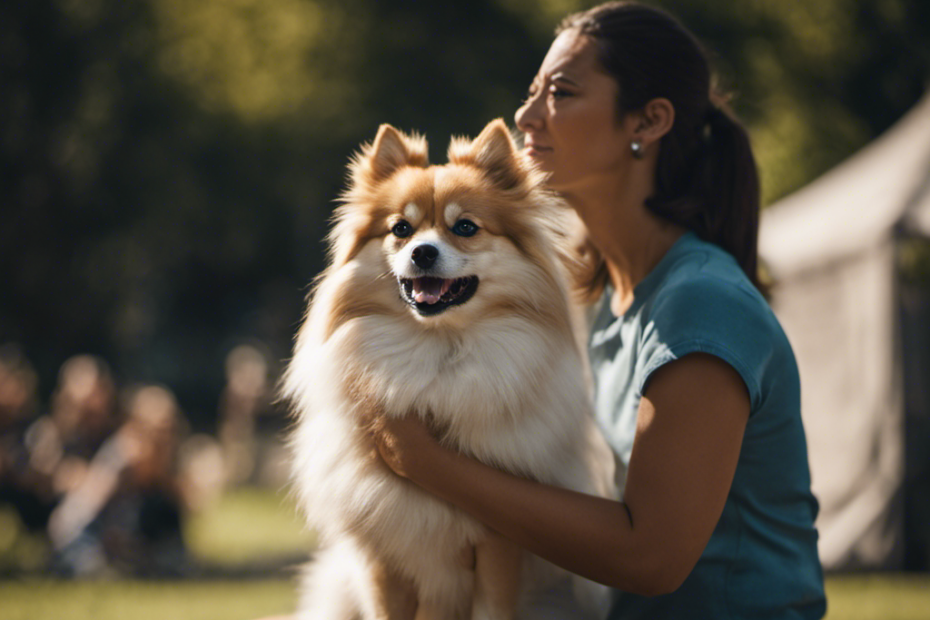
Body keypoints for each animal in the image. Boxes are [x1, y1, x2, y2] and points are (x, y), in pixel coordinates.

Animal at [284, 120, 616, 620]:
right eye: (401, 229)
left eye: (465, 228)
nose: (422, 252)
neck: (436, 346)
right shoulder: (383, 552)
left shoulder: (499, 539)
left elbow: (492, 608)